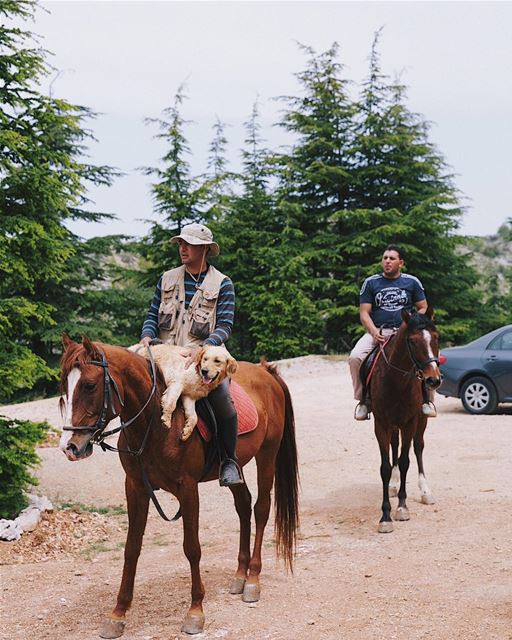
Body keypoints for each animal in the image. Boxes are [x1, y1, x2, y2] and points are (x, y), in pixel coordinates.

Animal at [59, 338, 300, 636]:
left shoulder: (188, 489)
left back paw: (252, 580)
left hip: (267, 455)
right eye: (64, 385)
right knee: (244, 507)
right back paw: (239, 577)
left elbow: (192, 548)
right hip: (236, 468)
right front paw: (117, 614)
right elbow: (131, 549)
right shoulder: (136, 488)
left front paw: (195, 611)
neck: (151, 426)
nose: (70, 447)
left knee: (261, 509)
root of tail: (265, 371)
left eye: (90, 385)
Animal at [370, 310, 442, 536]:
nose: (433, 380)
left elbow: (405, 461)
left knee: (418, 448)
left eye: (436, 338)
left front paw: (402, 507)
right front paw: (385, 516)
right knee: (395, 446)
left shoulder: (410, 422)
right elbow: (385, 466)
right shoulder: (382, 424)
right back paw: (393, 485)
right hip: (394, 425)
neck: (396, 381)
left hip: (421, 421)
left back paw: (425, 491)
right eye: (412, 341)